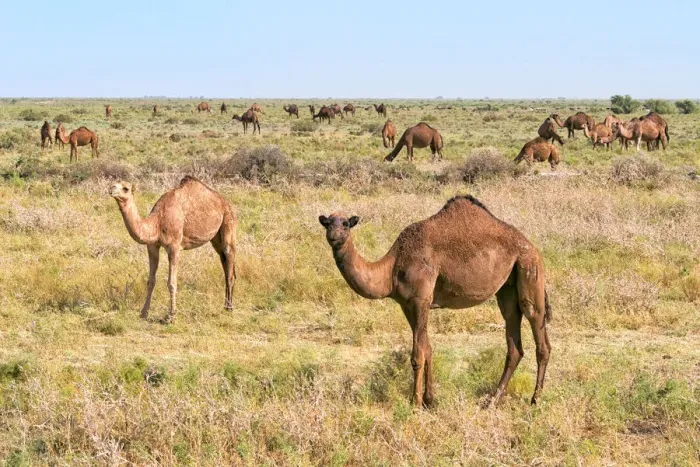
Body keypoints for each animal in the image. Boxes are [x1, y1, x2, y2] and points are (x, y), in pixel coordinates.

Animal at [109, 176, 237, 323]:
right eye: (113, 184)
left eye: (126, 188)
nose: (111, 189)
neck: (157, 222)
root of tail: (225, 202)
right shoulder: (152, 246)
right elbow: (151, 281)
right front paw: (143, 313)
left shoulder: (174, 247)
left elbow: (172, 282)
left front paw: (171, 316)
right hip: (215, 238)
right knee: (224, 262)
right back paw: (226, 305)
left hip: (229, 221)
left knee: (229, 263)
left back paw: (229, 307)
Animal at [319, 195, 552, 408]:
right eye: (328, 223)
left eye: (346, 223)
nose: (334, 236)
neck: (392, 268)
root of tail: (533, 247)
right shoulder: (406, 304)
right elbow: (428, 348)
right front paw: (429, 400)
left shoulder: (420, 299)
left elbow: (417, 354)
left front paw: (414, 402)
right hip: (507, 288)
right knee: (513, 340)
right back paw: (492, 401)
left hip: (529, 269)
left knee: (539, 333)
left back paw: (535, 400)